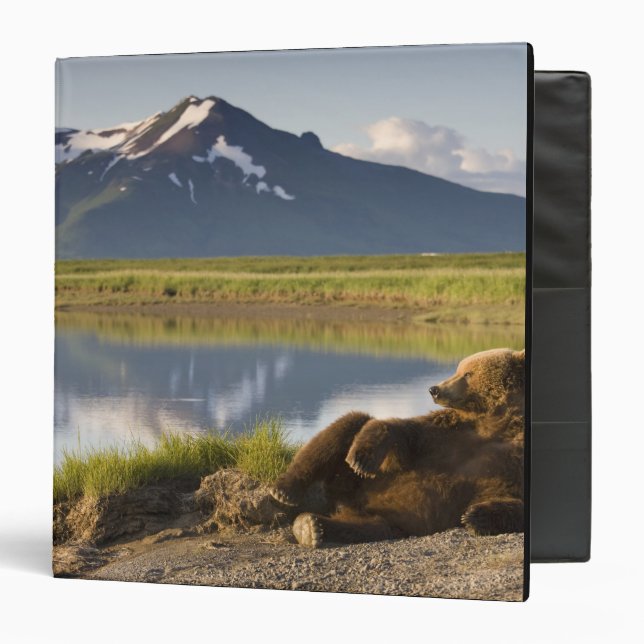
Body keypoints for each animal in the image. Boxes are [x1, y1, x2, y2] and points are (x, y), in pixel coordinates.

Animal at [270, 347, 525, 547]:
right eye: (458, 369)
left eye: (468, 373)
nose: (435, 389)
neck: (492, 423)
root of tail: (346, 503)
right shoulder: (447, 434)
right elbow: (402, 431)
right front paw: (362, 459)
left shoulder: (511, 458)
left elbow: (515, 501)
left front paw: (474, 516)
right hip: (351, 480)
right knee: (348, 423)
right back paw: (285, 491)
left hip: (387, 519)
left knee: (366, 527)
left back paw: (311, 527)